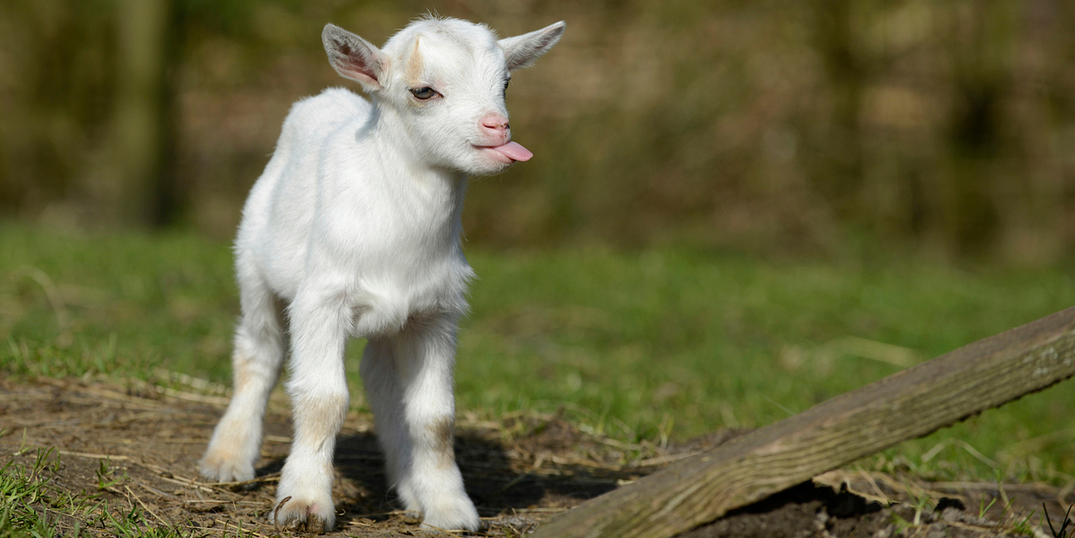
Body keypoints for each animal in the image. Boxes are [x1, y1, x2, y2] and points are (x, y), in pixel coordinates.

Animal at [197, 16, 564, 533]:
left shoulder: (436, 313)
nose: (498, 127)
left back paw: (409, 486)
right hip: (253, 268)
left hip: (394, 320)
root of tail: (328, 97)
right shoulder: (322, 299)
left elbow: (435, 416)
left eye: (507, 82)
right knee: (258, 351)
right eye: (423, 90)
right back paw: (228, 458)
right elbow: (323, 399)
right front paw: (304, 503)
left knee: (380, 377)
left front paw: (449, 509)